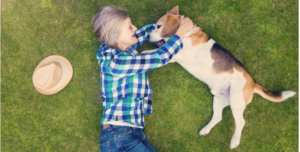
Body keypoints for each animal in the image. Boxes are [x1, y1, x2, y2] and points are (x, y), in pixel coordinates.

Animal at [142, 5, 296, 150]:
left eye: (158, 26)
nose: (148, 37)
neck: (187, 33)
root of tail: (253, 82)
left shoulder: (178, 54)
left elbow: (161, 50)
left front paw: (147, 51)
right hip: (219, 98)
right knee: (218, 117)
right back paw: (206, 129)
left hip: (236, 100)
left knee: (241, 122)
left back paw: (234, 141)